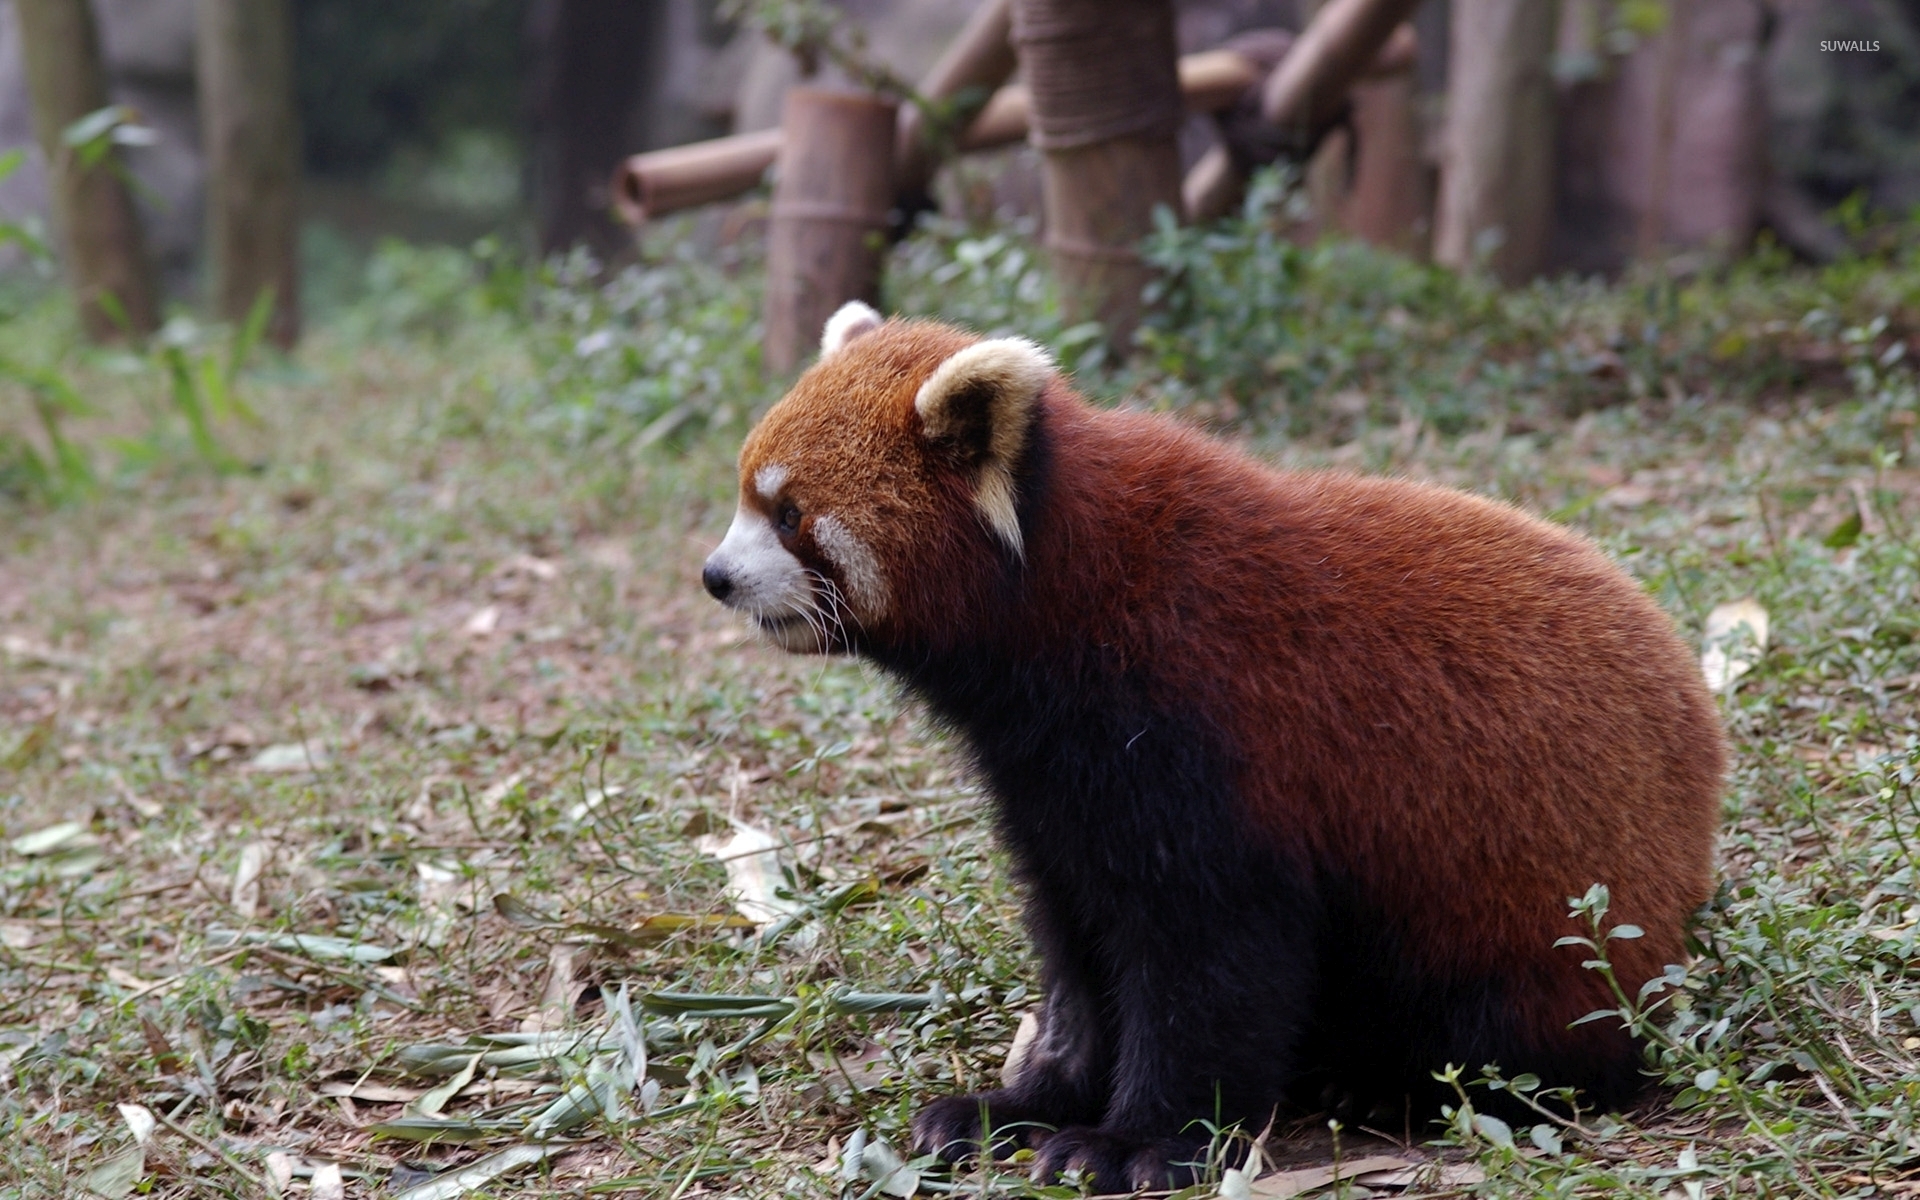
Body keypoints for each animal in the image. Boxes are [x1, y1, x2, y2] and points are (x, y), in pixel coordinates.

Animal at [700, 301, 1724, 1189]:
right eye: (745, 494)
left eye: (790, 515)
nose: (715, 576)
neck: (1062, 608)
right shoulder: (1049, 784)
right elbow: (1078, 955)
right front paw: (1019, 1105)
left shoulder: (1208, 729)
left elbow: (1209, 961)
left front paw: (1134, 1143)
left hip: (1534, 910)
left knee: (1508, 1025)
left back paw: (1386, 1084)